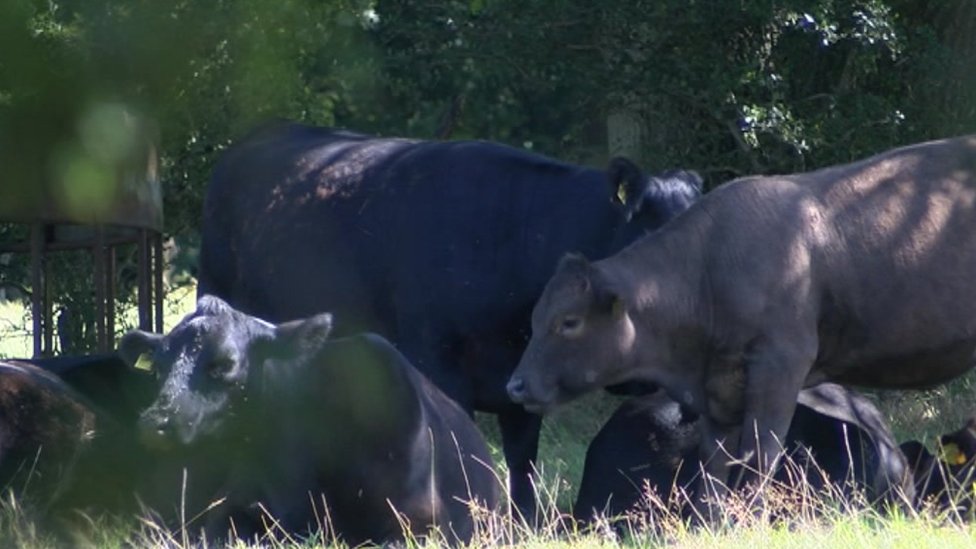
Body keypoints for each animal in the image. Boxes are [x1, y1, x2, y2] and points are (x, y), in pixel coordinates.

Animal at [507, 134, 976, 501]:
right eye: (535, 319)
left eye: (569, 322)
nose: (515, 385)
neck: (708, 269)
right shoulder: (718, 393)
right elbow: (715, 471)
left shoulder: (780, 367)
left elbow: (758, 459)